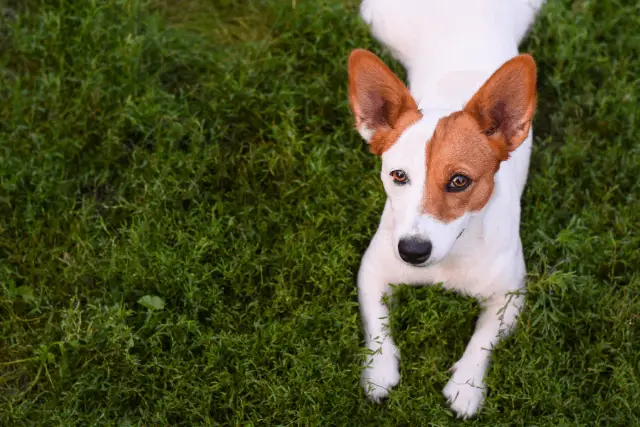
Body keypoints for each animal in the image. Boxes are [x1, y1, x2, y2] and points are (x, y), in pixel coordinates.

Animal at [350, 0, 544, 420]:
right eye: (398, 175)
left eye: (459, 181)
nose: (412, 251)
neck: (451, 256)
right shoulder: (372, 271)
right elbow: (377, 325)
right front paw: (378, 371)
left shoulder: (509, 295)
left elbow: (484, 340)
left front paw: (467, 385)